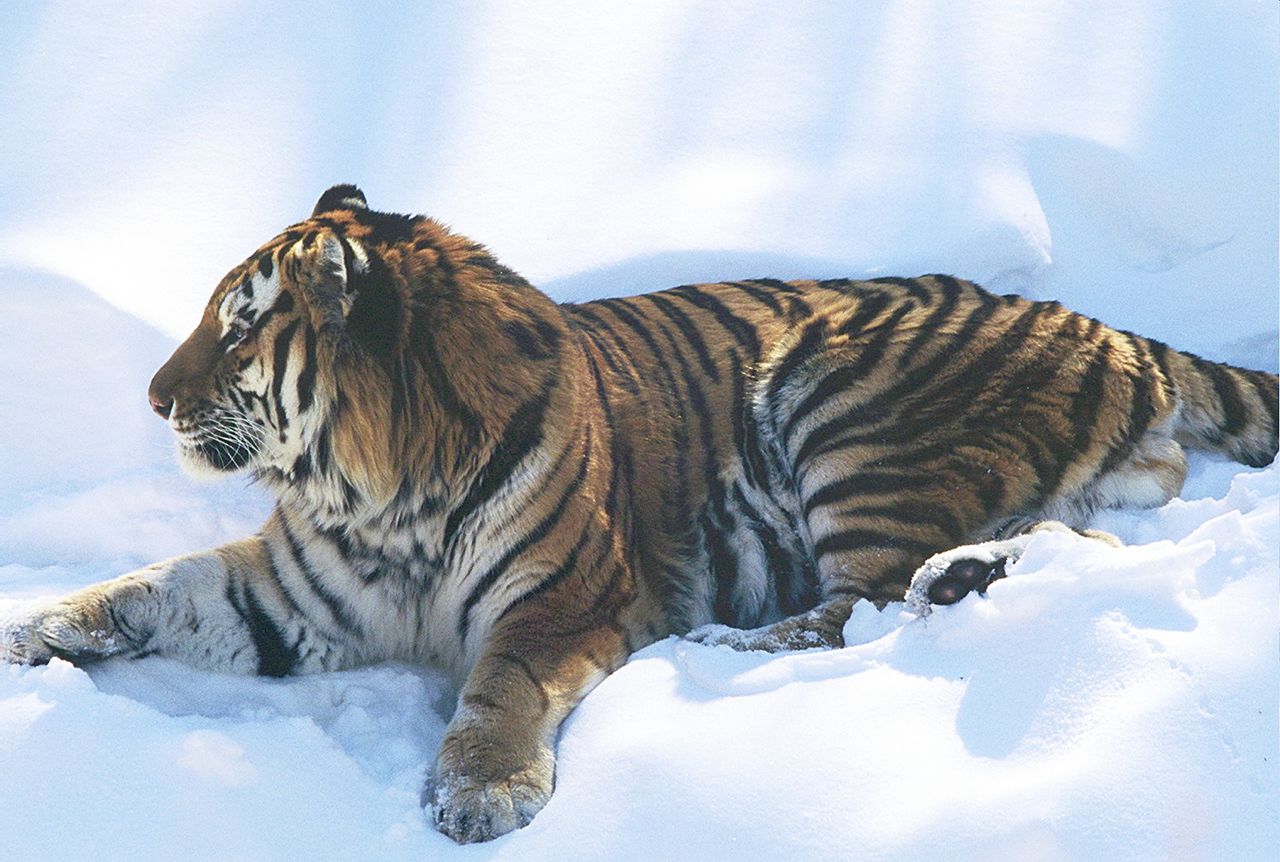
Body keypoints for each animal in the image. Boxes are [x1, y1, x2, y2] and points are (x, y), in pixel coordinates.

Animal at [1, 185, 1276, 843]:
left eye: (237, 327)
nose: (151, 395)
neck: (377, 494)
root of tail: (1101, 326)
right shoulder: (287, 595)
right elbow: (143, 590)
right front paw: (27, 630)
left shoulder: (560, 598)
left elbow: (497, 685)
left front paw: (478, 792)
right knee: (1069, 538)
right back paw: (964, 575)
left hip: (844, 407)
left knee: (862, 602)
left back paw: (729, 637)